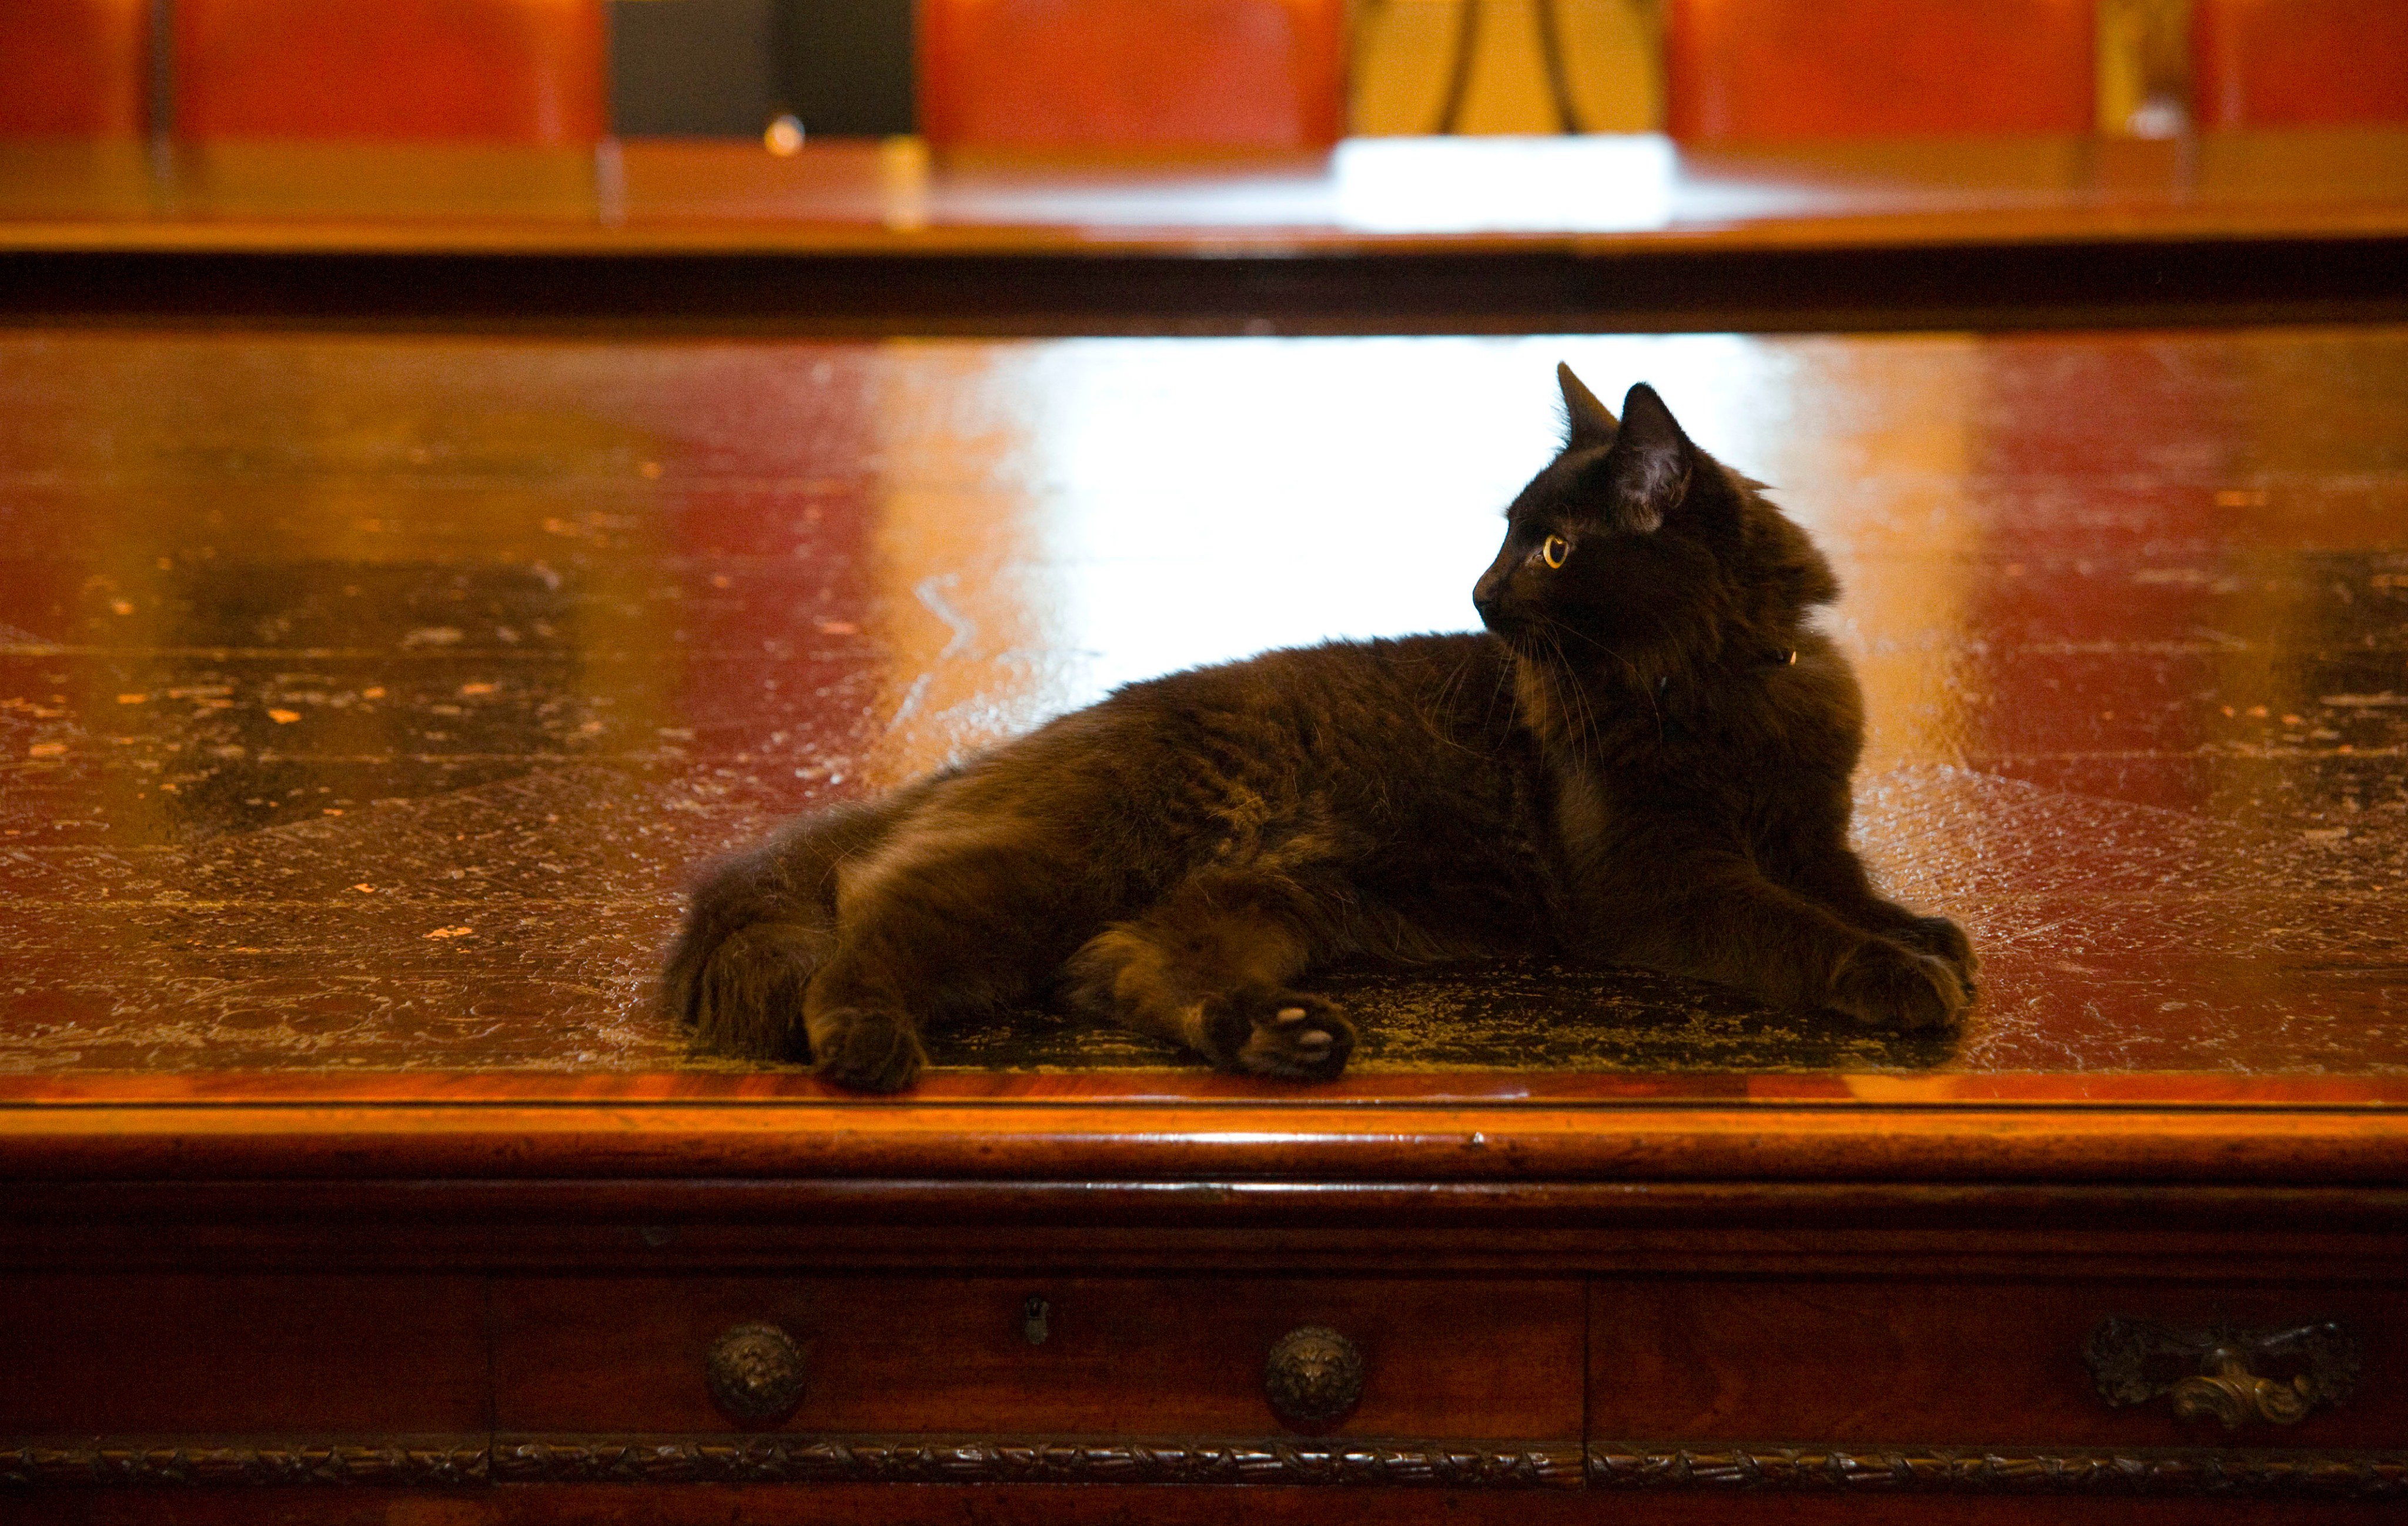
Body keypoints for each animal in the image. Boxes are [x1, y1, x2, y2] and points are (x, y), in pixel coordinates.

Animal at [664, 366, 1974, 1083]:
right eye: (1509, 537)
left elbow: (1852, 893)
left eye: (1552, 549)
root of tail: (1003, 752)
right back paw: (865, 1043)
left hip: (1263, 904)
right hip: (1059, 864)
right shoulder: (1665, 881)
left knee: (1116, 969)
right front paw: (1898, 976)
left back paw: (1279, 1040)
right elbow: (1795, 929)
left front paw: (1928, 937)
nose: (1477, 594)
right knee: (876, 924)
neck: (1722, 690)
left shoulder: (1809, 831)